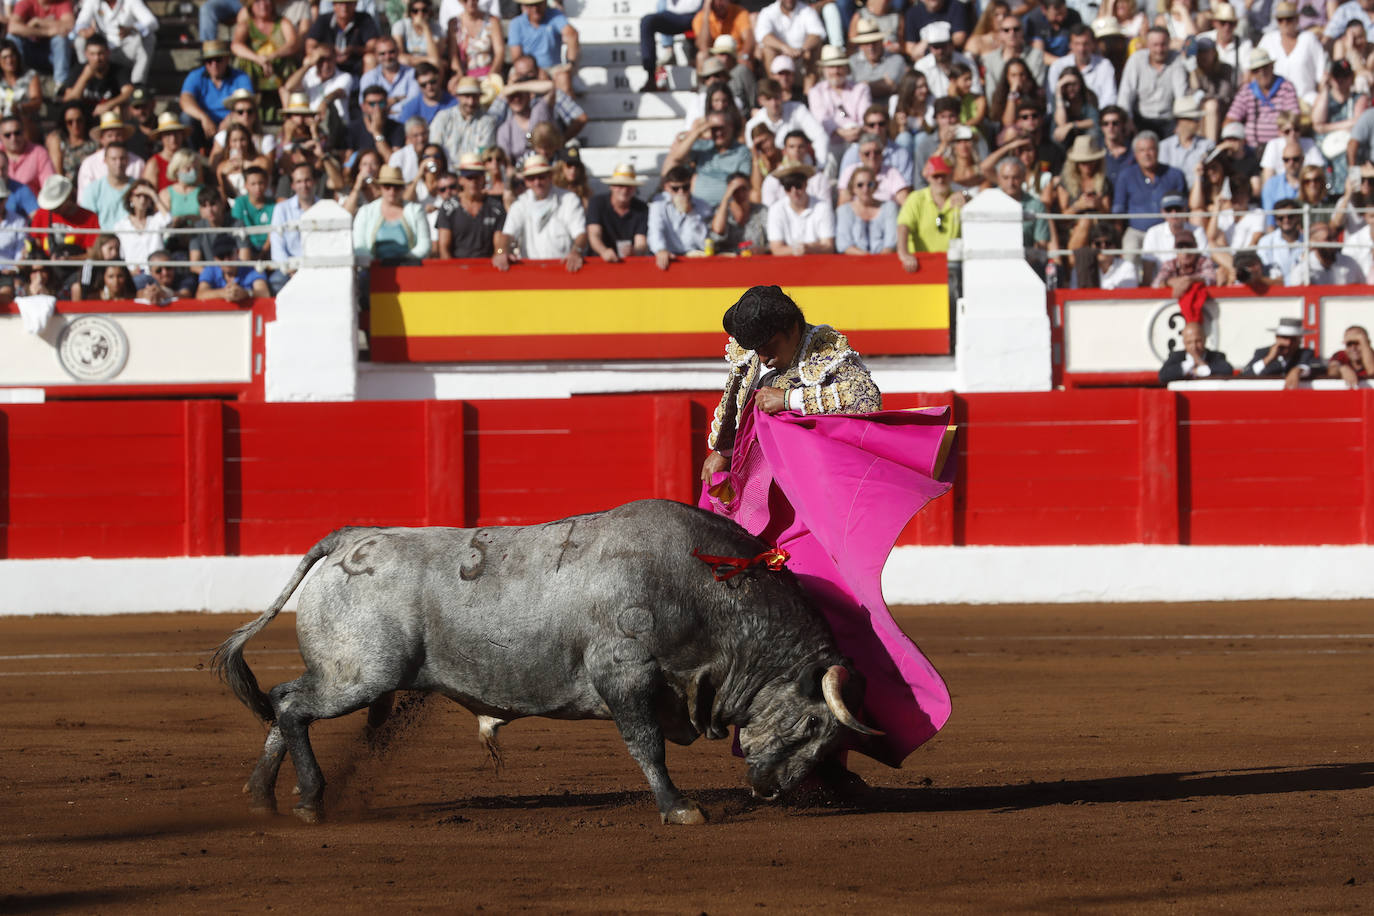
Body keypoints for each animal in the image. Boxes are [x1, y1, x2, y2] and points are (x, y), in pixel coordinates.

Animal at [214, 497, 879, 829]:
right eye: (813, 725)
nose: (769, 789)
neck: (705, 589)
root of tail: (351, 538)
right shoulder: (625, 676)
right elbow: (646, 746)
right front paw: (680, 809)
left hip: (346, 674)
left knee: (282, 702)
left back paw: (260, 796)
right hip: (361, 674)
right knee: (293, 707)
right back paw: (308, 801)